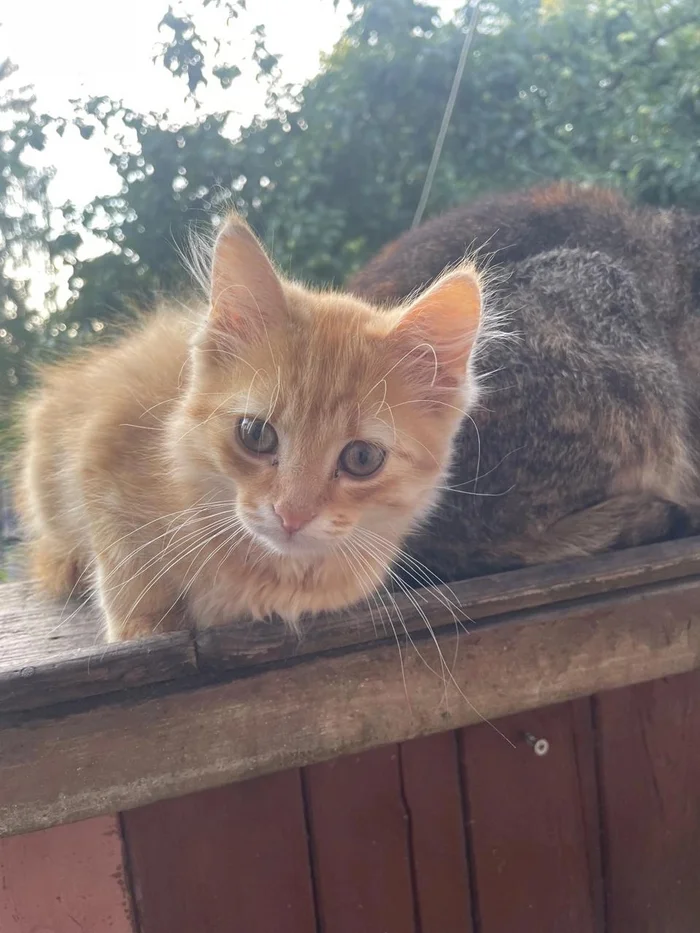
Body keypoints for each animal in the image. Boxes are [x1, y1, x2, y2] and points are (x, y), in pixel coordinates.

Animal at [16, 218, 482, 640]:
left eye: (362, 458)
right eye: (256, 435)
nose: (291, 516)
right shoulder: (103, 448)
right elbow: (128, 575)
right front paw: (145, 624)